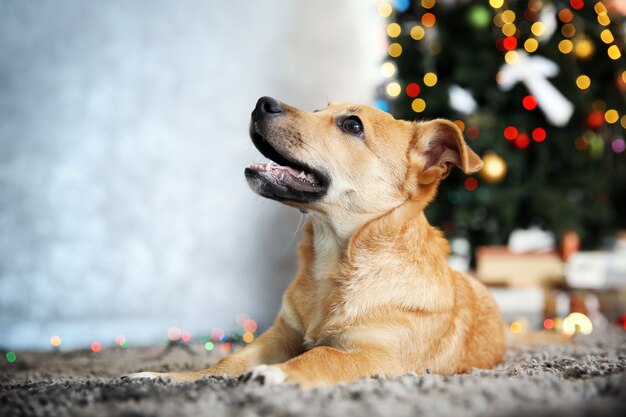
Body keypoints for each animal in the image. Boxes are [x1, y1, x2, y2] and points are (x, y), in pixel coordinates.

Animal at [129, 96, 504, 386]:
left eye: (352, 125)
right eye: (318, 109)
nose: (261, 103)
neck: (334, 261)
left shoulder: (379, 357)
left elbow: (322, 357)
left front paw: (277, 374)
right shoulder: (281, 335)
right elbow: (228, 362)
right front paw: (167, 377)